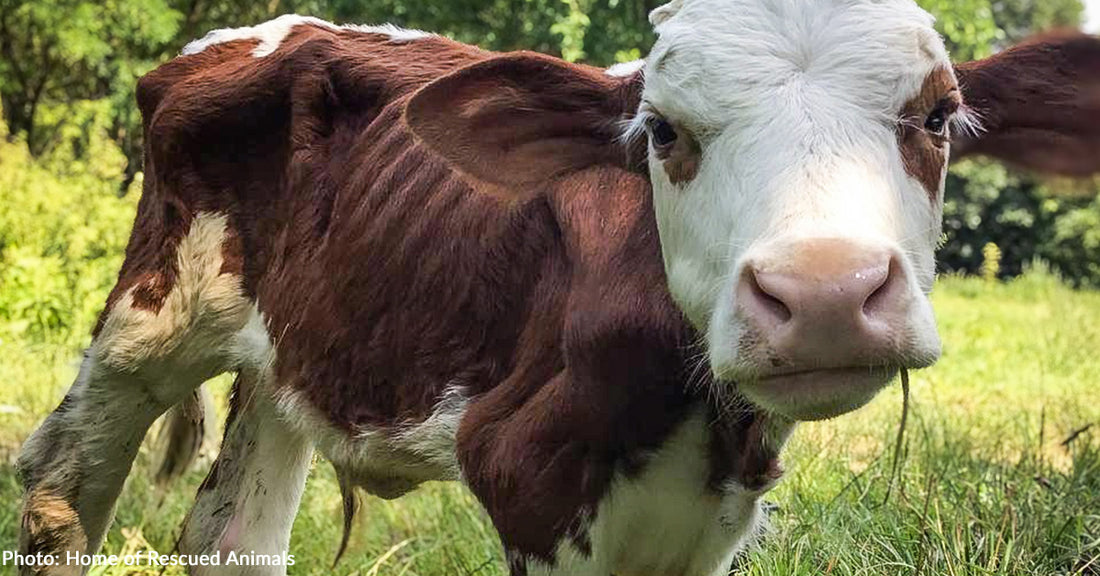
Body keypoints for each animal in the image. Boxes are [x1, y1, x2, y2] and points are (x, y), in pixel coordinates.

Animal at [16, 1, 1100, 574]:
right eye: (660, 130)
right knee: (62, 484)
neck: (699, 430)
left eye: (937, 115)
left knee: (232, 530)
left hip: (294, 354)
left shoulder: (713, 523)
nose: (825, 291)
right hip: (152, 319)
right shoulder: (524, 471)